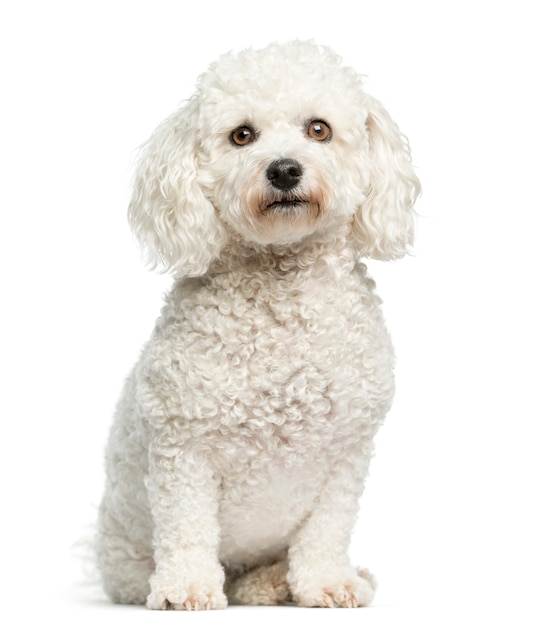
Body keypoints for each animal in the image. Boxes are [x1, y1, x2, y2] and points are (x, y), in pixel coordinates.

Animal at [96, 41, 420, 608]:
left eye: (319, 129)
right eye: (242, 135)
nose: (284, 170)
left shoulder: (346, 454)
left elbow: (326, 530)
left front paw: (327, 582)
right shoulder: (182, 449)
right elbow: (186, 528)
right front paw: (186, 589)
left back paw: (274, 581)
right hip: (126, 559)